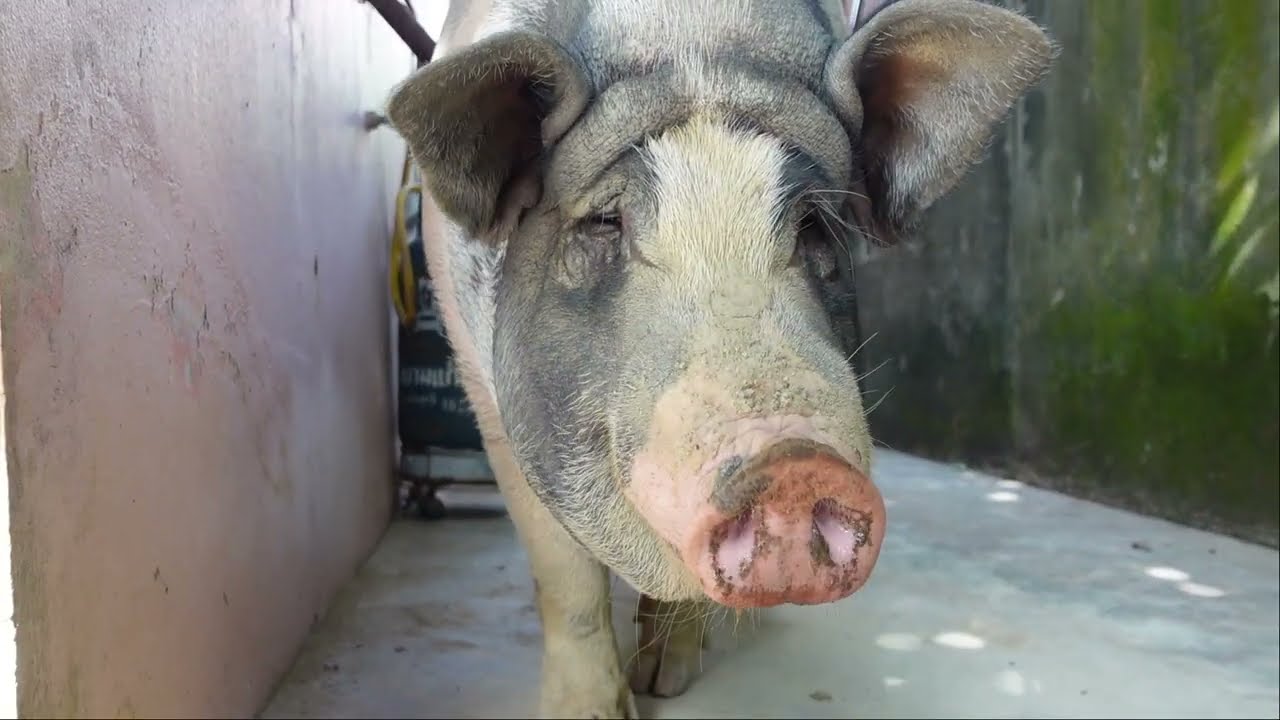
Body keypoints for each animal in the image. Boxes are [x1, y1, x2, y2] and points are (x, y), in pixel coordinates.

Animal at [384, 0, 1054, 716]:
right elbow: (565, 577)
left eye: (813, 226)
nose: (792, 463)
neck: (691, 46)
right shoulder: (484, 390)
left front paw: (666, 683)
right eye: (606, 223)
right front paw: (595, 708)